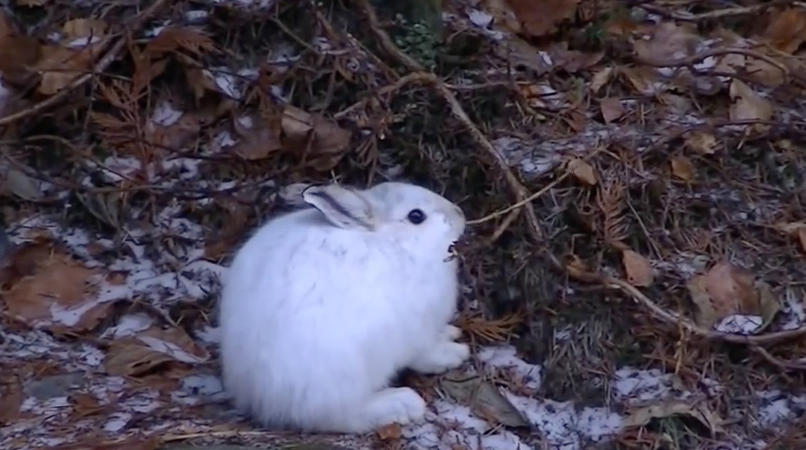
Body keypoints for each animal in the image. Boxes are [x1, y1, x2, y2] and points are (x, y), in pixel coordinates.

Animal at [221, 181, 474, 434]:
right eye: (416, 216)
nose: (460, 213)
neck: (396, 245)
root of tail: (258, 397)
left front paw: (450, 333)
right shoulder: (416, 334)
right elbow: (426, 355)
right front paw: (455, 353)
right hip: (343, 378)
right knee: (341, 417)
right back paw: (401, 403)